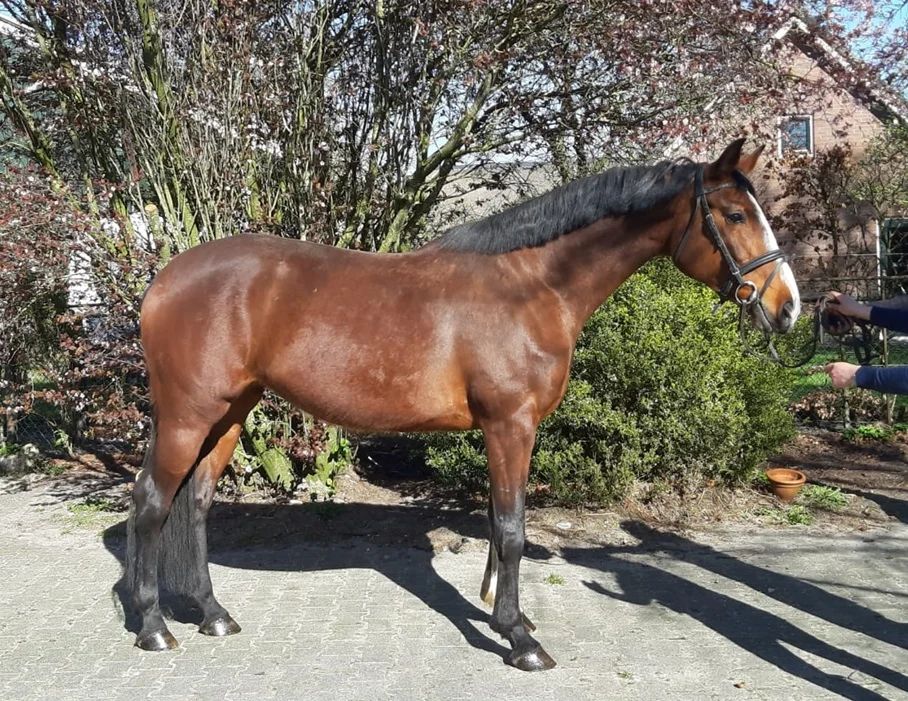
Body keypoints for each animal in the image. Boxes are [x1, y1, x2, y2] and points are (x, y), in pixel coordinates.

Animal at [125, 138, 801, 671]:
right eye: (734, 213)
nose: (787, 307)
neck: (531, 286)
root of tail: (166, 279)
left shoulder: (507, 430)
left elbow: (501, 527)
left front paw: (510, 619)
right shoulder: (510, 426)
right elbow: (513, 529)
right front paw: (521, 640)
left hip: (230, 413)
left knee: (195, 503)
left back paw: (211, 613)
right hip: (189, 415)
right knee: (153, 503)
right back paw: (154, 627)